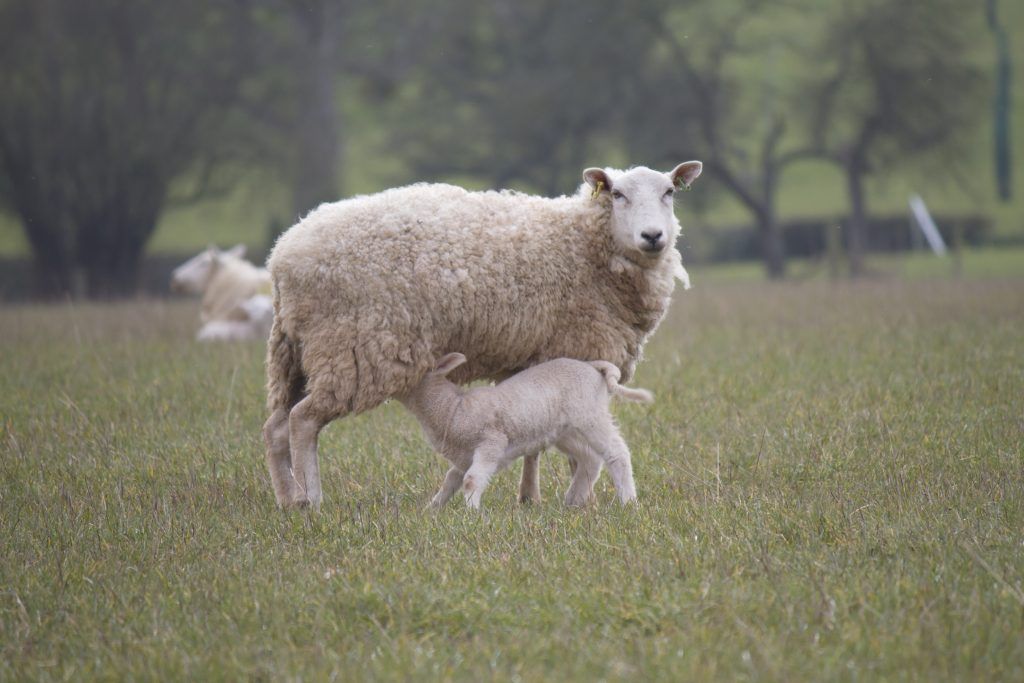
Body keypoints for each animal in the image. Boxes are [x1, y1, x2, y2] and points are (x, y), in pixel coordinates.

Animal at [397, 356, 647, 509]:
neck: (452, 408)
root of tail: (594, 366)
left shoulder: (492, 442)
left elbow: (471, 480)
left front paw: (471, 513)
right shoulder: (464, 456)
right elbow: (450, 481)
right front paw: (432, 508)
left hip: (590, 417)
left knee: (617, 453)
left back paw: (628, 502)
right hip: (565, 431)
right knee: (590, 458)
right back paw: (573, 500)